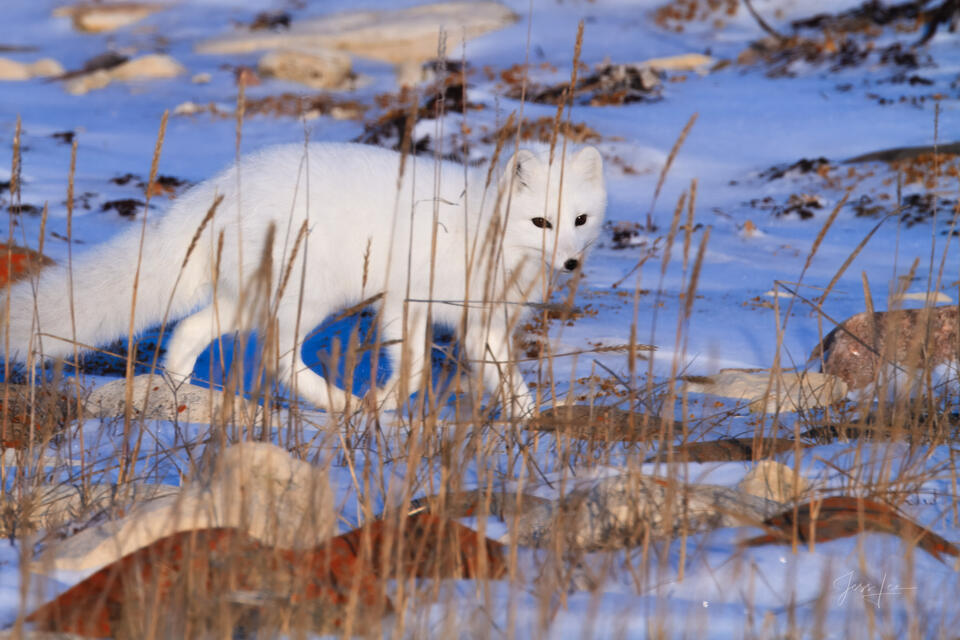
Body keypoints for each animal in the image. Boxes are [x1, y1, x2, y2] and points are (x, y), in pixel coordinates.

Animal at [2, 142, 606, 414]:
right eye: (541, 222)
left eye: (580, 220)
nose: (571, 264)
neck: (484, 230)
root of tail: (219, 187)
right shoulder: (404, 301)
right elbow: (412, 368)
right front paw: (384, 402)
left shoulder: (483, 326)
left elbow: (505, 377)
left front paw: (526, 424)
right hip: (309, 296)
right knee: (274, 355)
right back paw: (341, 404)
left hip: (247, 297)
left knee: (188, 332)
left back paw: (175, 395)